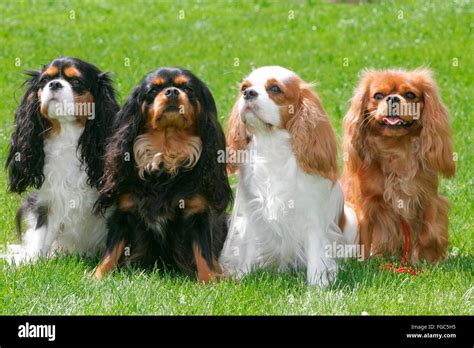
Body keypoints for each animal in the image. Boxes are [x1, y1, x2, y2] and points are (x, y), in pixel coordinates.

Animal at [5, 56, 119, 260]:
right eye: (44, 80)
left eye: (76, 82)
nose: (54, 84)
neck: (68, 134)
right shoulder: (48, 201)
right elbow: (40, 237)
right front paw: (30, 261)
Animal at [220, 66, 358, 286]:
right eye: (244, 87)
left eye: (275, 89)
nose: (248, 93)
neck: (272, 146)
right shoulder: (252, 213)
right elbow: (247, 248)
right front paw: (241, 277)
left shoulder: (313, 217)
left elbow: (316, 253)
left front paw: (318, 285)